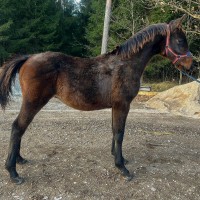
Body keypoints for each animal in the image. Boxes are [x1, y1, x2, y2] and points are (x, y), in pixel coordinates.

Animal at [0, 15, 194, 184]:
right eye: (180, 41)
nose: (191, 65)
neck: (125, 64)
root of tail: (28, 57)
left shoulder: (115, 106)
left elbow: (114, 131)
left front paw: (119, 158)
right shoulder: (122, 105)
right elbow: (119, 133)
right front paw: (122, 168)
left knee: (20, 128)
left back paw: (19, 159)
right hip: (33, 102)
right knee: (17, 127)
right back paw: (13, 172)